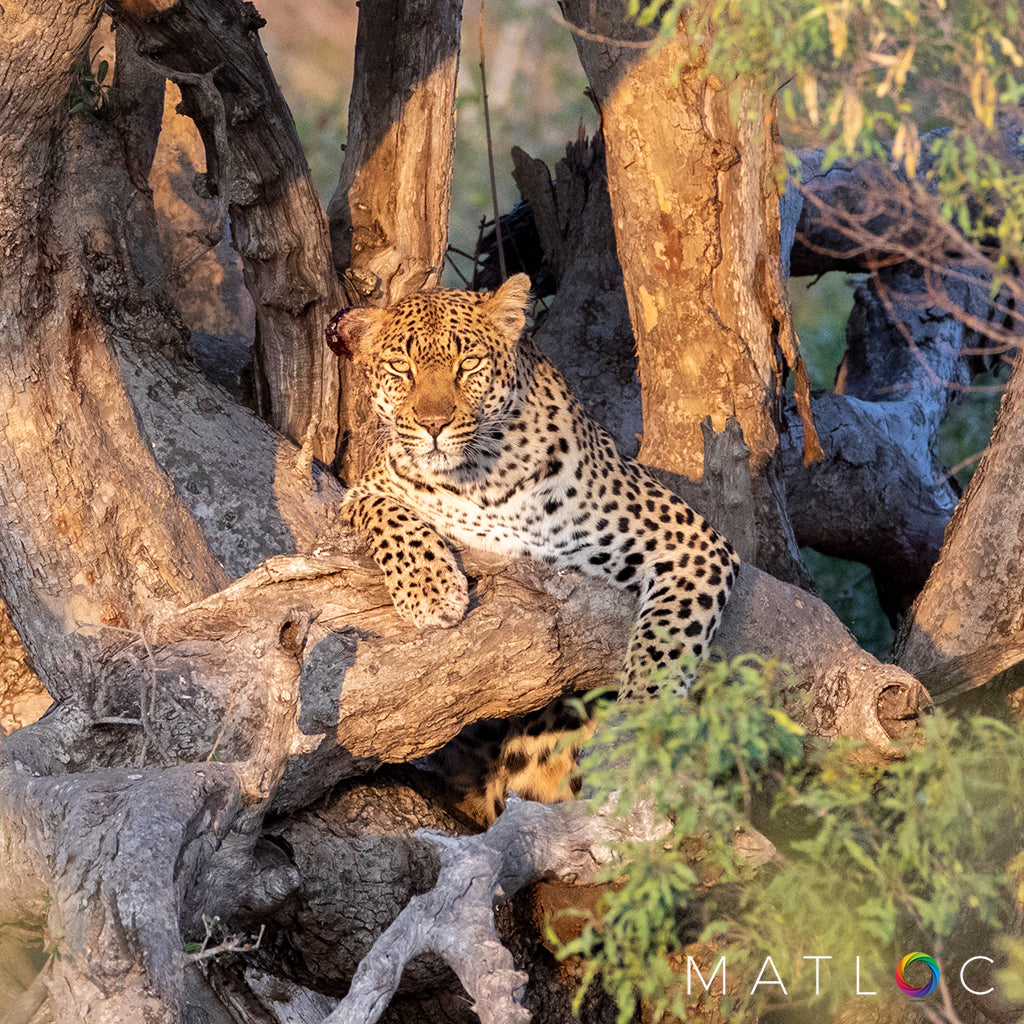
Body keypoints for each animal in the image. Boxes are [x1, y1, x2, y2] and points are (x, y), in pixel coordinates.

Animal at [325, 272, 737, 823]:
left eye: (468, 364)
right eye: (401, 369)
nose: (433, 425)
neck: (481, 479)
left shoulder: (691, 541)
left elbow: (664, 641)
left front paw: (643, 724)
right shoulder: (365, 491)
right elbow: (392, 518)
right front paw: (431, 590)